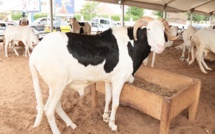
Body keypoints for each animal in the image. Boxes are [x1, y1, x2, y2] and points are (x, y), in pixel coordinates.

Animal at [29, 18, 166, 133]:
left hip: (56, 86)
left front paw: (105, 117)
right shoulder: (119, 80)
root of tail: (36, 52)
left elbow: (108, 98)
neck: (130, 45)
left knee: (56, 106)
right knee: (48, 110)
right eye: (149, 29)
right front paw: (112, 124)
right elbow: (115, 103)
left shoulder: (109, 79)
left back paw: (71, 124)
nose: (161, 46)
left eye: (163, 31)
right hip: (57, 85)